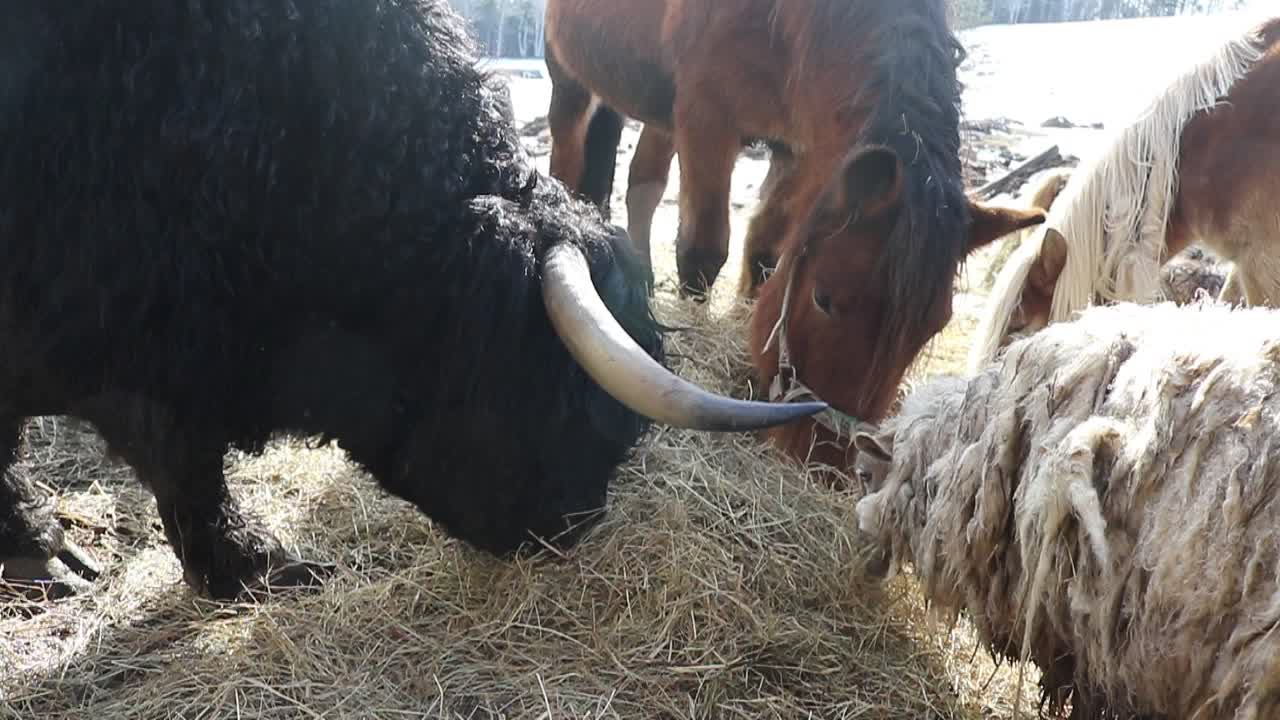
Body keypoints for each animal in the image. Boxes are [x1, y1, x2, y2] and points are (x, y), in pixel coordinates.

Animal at [540, 0, 1039, 304]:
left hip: (658, 107)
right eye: (825, 294)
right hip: (570, 81)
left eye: (933, 327)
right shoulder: (707, 121)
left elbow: (765, 245)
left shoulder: (802, 147)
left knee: (643, 183)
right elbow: (703, 249)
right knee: (568, 155)